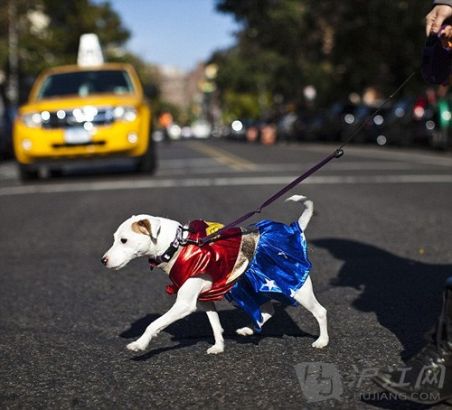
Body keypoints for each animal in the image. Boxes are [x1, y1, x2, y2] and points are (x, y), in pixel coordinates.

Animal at [102, 195, 328, 352]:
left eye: (124, 240)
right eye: (114, 238)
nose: (103, 261)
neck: (178, 245)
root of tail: (295, 230)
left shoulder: (185, 304)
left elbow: (153, 324)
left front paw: (139, 344)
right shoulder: (204, 300)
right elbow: (215, 323)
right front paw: (219, 346)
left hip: (298, 290)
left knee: (320, 311)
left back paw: (322, 341)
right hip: (253, 287)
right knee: (267, 310)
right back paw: (249, 329)